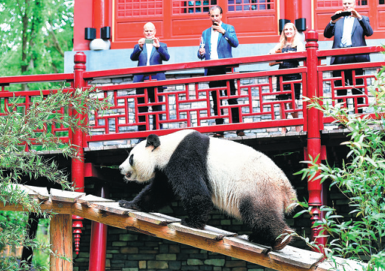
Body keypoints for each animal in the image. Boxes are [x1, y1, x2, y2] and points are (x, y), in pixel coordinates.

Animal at [118, 130, 296, 251]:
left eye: (131, 157)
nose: (120, 168)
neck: (167, 147)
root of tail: (286, 188)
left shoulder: (184, 157)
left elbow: (196, 192)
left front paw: (191, 222)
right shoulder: (166, 170)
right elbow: (159, 191)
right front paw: (128, 204)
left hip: (258, 187)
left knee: (258, 213)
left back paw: (280, 240)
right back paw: (261, 238)